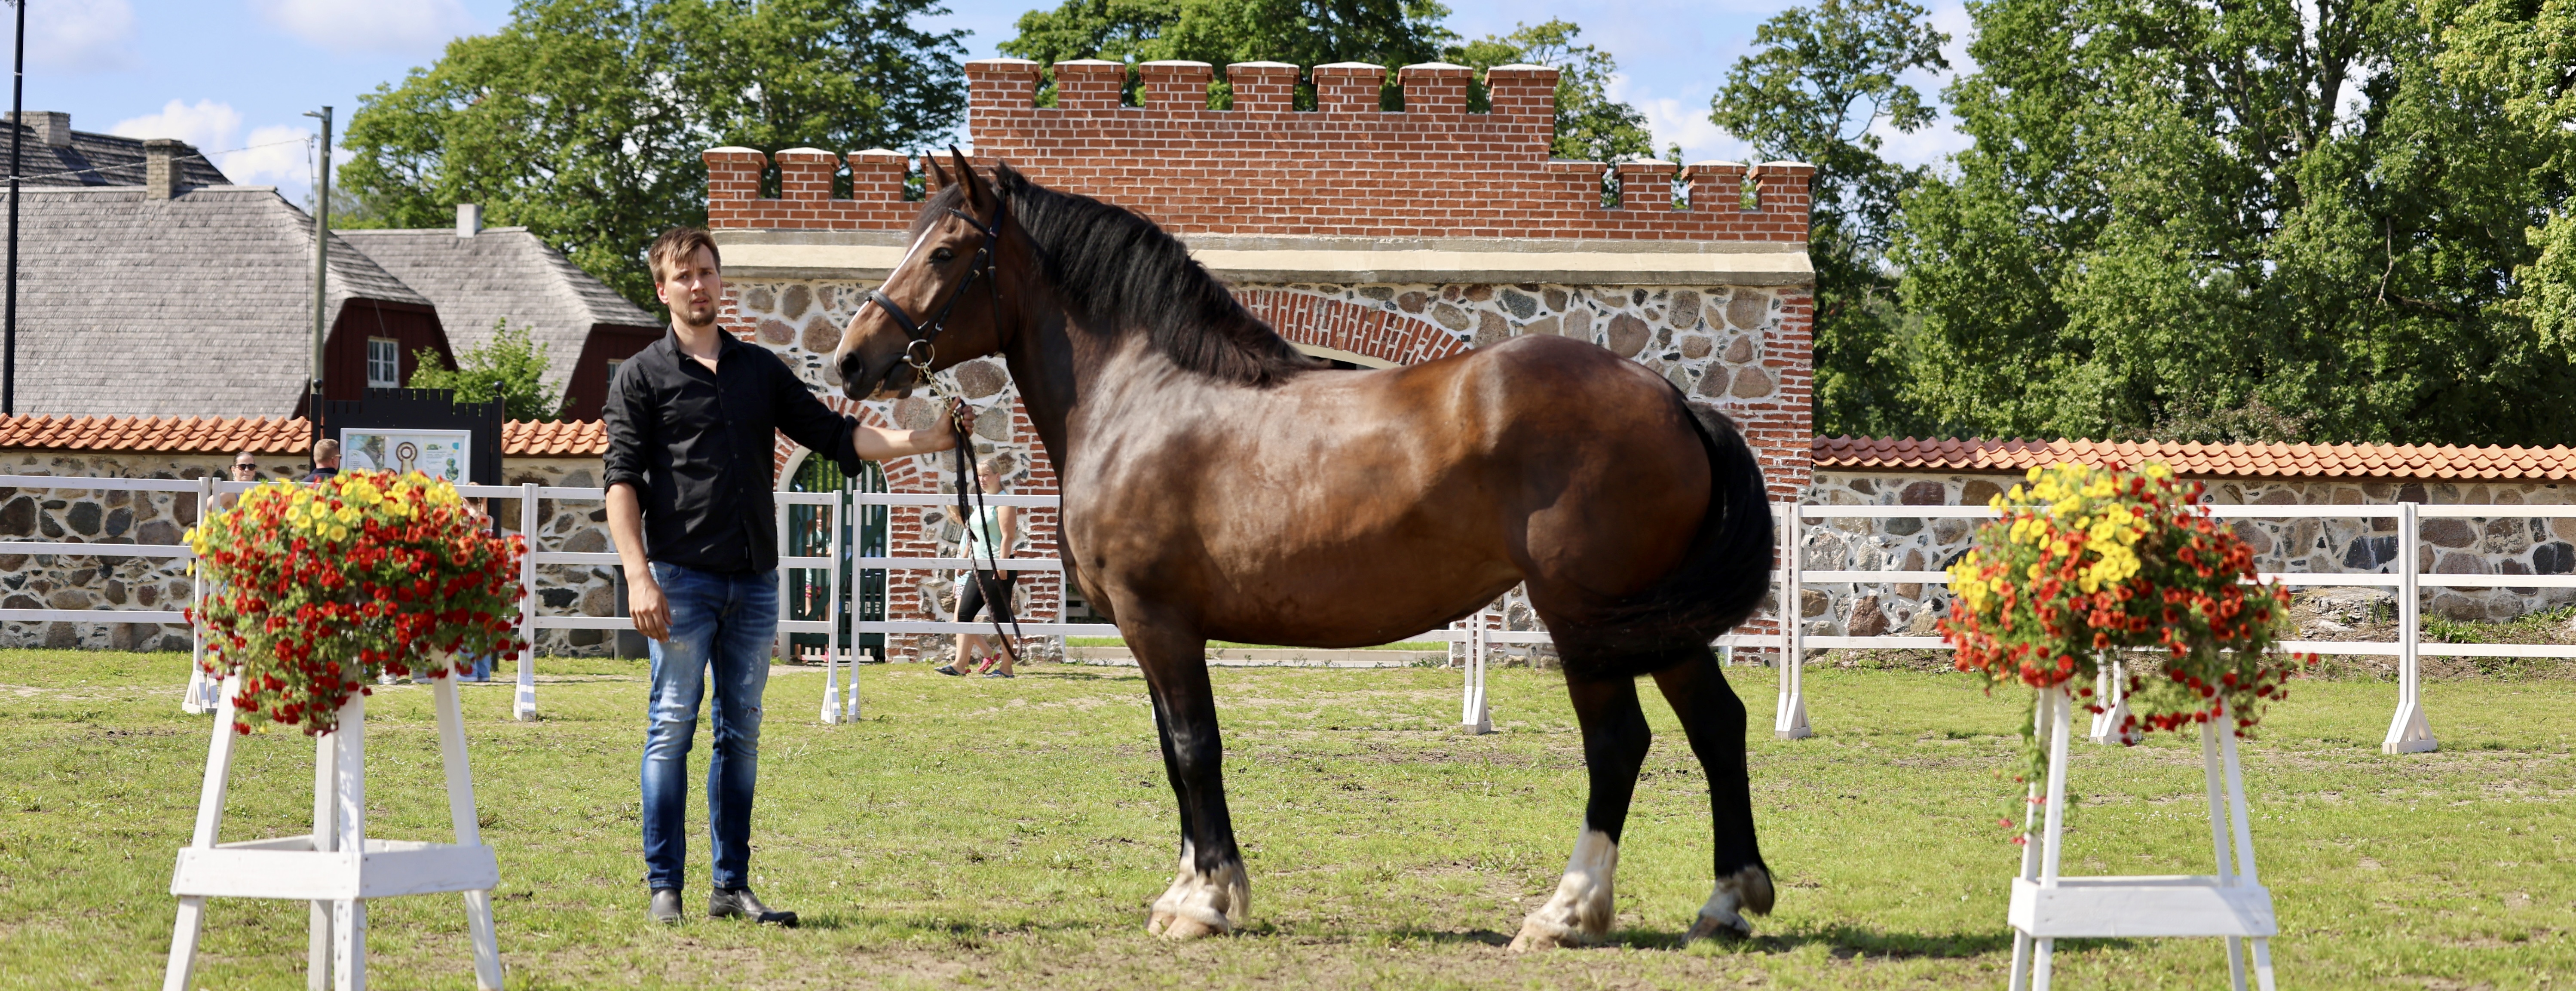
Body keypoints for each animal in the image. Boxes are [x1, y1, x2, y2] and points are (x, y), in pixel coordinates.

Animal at [834, 150, 1783, 947]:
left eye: (945, 253)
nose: (850, 361)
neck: (1141, 396)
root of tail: (1671, 397)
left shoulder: (1158, 623)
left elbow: (1194, 749)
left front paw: (1207, 902)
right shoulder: (1154, 634)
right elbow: (1173, 754)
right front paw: (1185, 890)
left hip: (1583, 619)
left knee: (1617, 742)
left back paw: (1565, 912)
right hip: (1653, 621)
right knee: (1717, 725)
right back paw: (1726, 902)